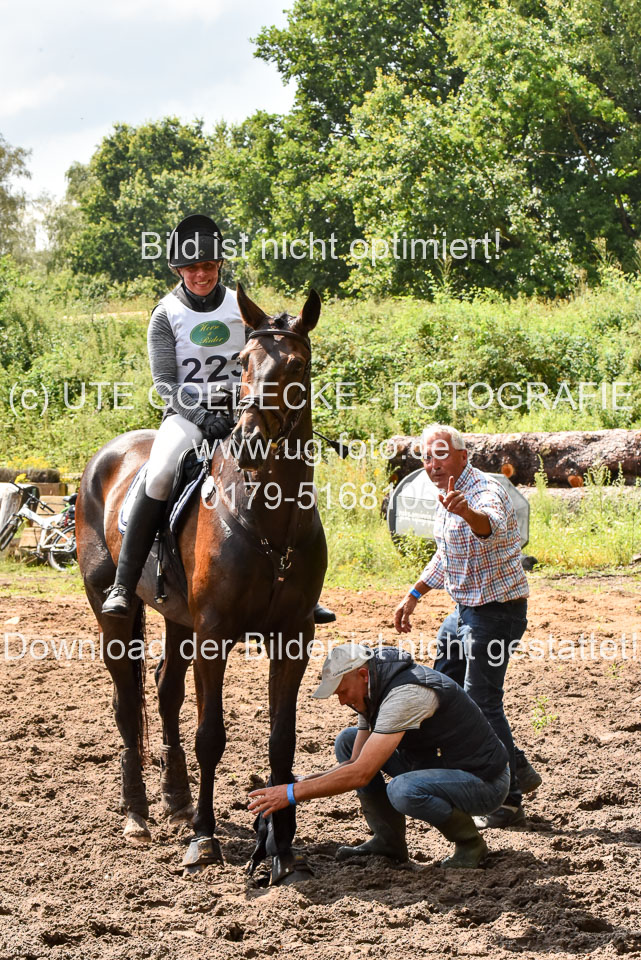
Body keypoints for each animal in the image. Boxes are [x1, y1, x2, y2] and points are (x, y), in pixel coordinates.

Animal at [75, 284, 328, 884]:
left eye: (297, 365)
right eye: (244, 361)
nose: (250, 438)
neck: (270, 520)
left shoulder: (293, 638)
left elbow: (282, 738)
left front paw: (283, 846)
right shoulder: (215, 635)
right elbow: (210, 735)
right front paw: (205, 840)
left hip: (177, 619)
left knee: (165, 691)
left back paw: (176, 799)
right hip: (114, 614)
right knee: (128, 703)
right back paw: (138, 813)